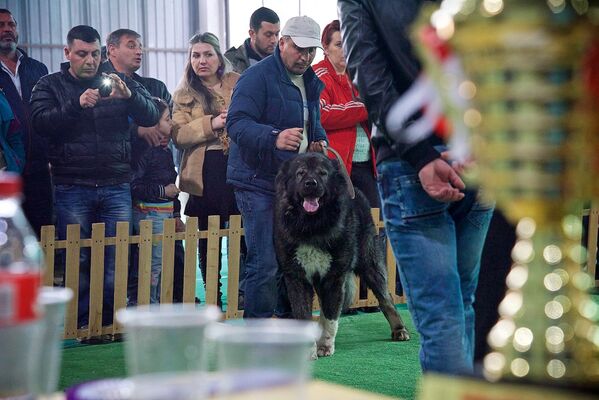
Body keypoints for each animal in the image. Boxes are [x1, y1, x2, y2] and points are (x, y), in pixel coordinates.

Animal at [274, 152, 410, 356]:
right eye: (300, 173)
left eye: (323, 173)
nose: (311, 183)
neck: (312, 226)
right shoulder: (297, 277)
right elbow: (303, 313)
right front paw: (308, 351)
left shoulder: (334, 277)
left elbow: (331, 316)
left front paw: (324, 346)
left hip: (369, 263)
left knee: (386, 298)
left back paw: (399, 329)